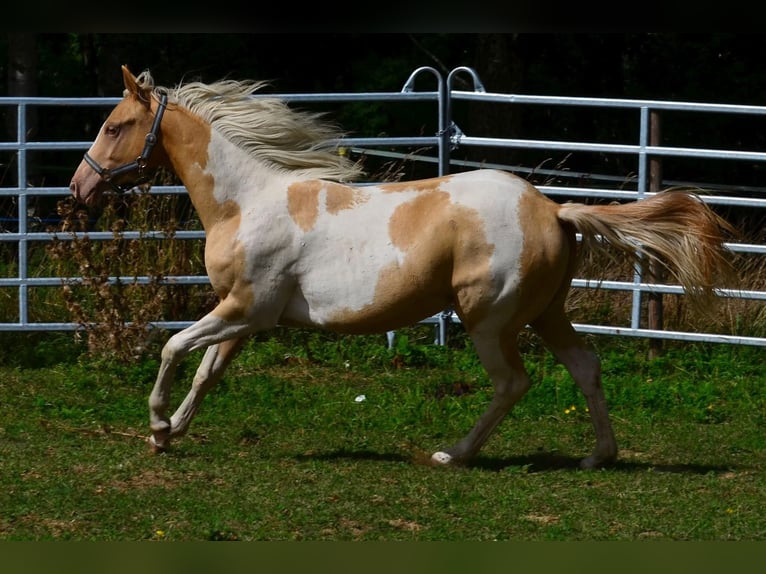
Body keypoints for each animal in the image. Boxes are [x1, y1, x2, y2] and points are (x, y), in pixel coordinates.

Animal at [69, 65, 736, 469]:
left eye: (114, 126)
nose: (79, 188)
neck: (246, 201)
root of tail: (552, 208)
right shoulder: (247, 317)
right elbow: (207, 372)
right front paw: (168, 435)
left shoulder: (243, 309)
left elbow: (173, 347)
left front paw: (157, 422)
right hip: (547, 313)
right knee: (586, 366)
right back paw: (599, 455)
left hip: (490, 320)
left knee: (513, 382)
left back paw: (453, 454)